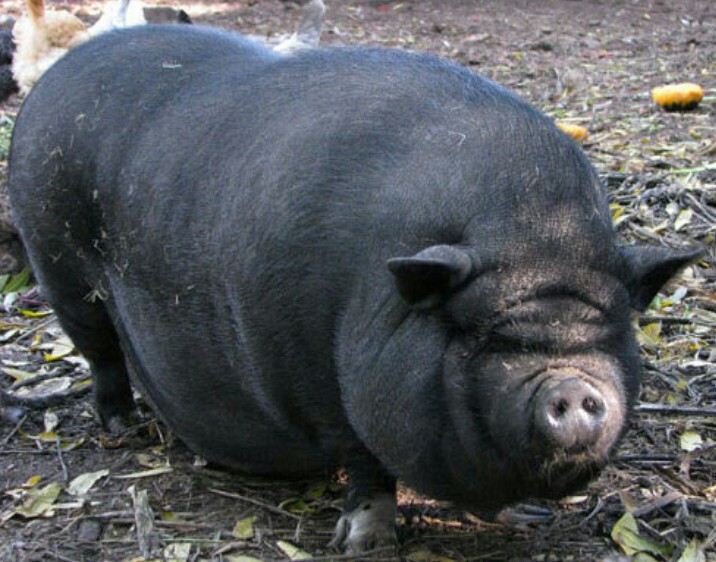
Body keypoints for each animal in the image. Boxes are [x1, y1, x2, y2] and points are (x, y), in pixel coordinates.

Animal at [8, 25, 700, 553]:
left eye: (610, 330)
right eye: (484, 336)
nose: (574, 387)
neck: (533, 228)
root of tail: (56, 75)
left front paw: (527, 519)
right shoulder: (310, 376)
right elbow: (366, 462)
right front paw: (364, 544)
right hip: (55, 257)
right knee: (99, 349)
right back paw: (122, 427)